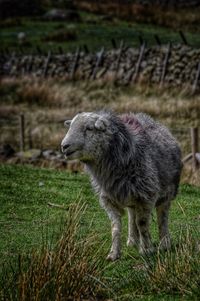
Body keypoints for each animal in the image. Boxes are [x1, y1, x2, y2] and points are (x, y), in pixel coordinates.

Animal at [61, 110, 183, 260]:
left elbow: (142, 223)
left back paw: (164, 243)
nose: (64, 146)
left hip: (167, 193)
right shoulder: (109, 199)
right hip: (130, 196)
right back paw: (132, 241)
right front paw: (113, 254)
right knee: (132, 216)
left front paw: (146, 250)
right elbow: (116, 227)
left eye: (89, 128)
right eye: (70, 126)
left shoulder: (146, 196)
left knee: (163, 217)